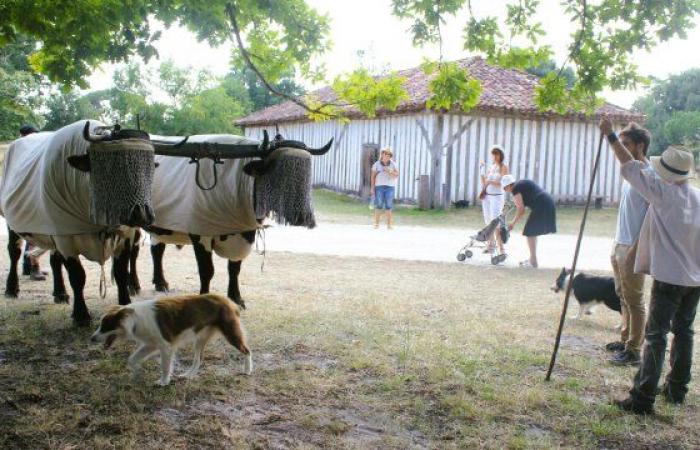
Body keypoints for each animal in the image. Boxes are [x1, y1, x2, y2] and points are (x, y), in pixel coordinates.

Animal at [89, 294, 250, 384]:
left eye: (105, 326)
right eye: (101, 325)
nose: (92, 338)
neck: (135, 320)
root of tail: (228, 300)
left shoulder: (165, 346)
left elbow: (165, 366)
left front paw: (163, 382)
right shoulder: (151, 344)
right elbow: (132, 359)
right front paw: (136, 373)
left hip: (231, 333)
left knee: (247, 351)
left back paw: (247, 370)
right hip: (199, 339)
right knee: (198, 359)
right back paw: (188, 375)